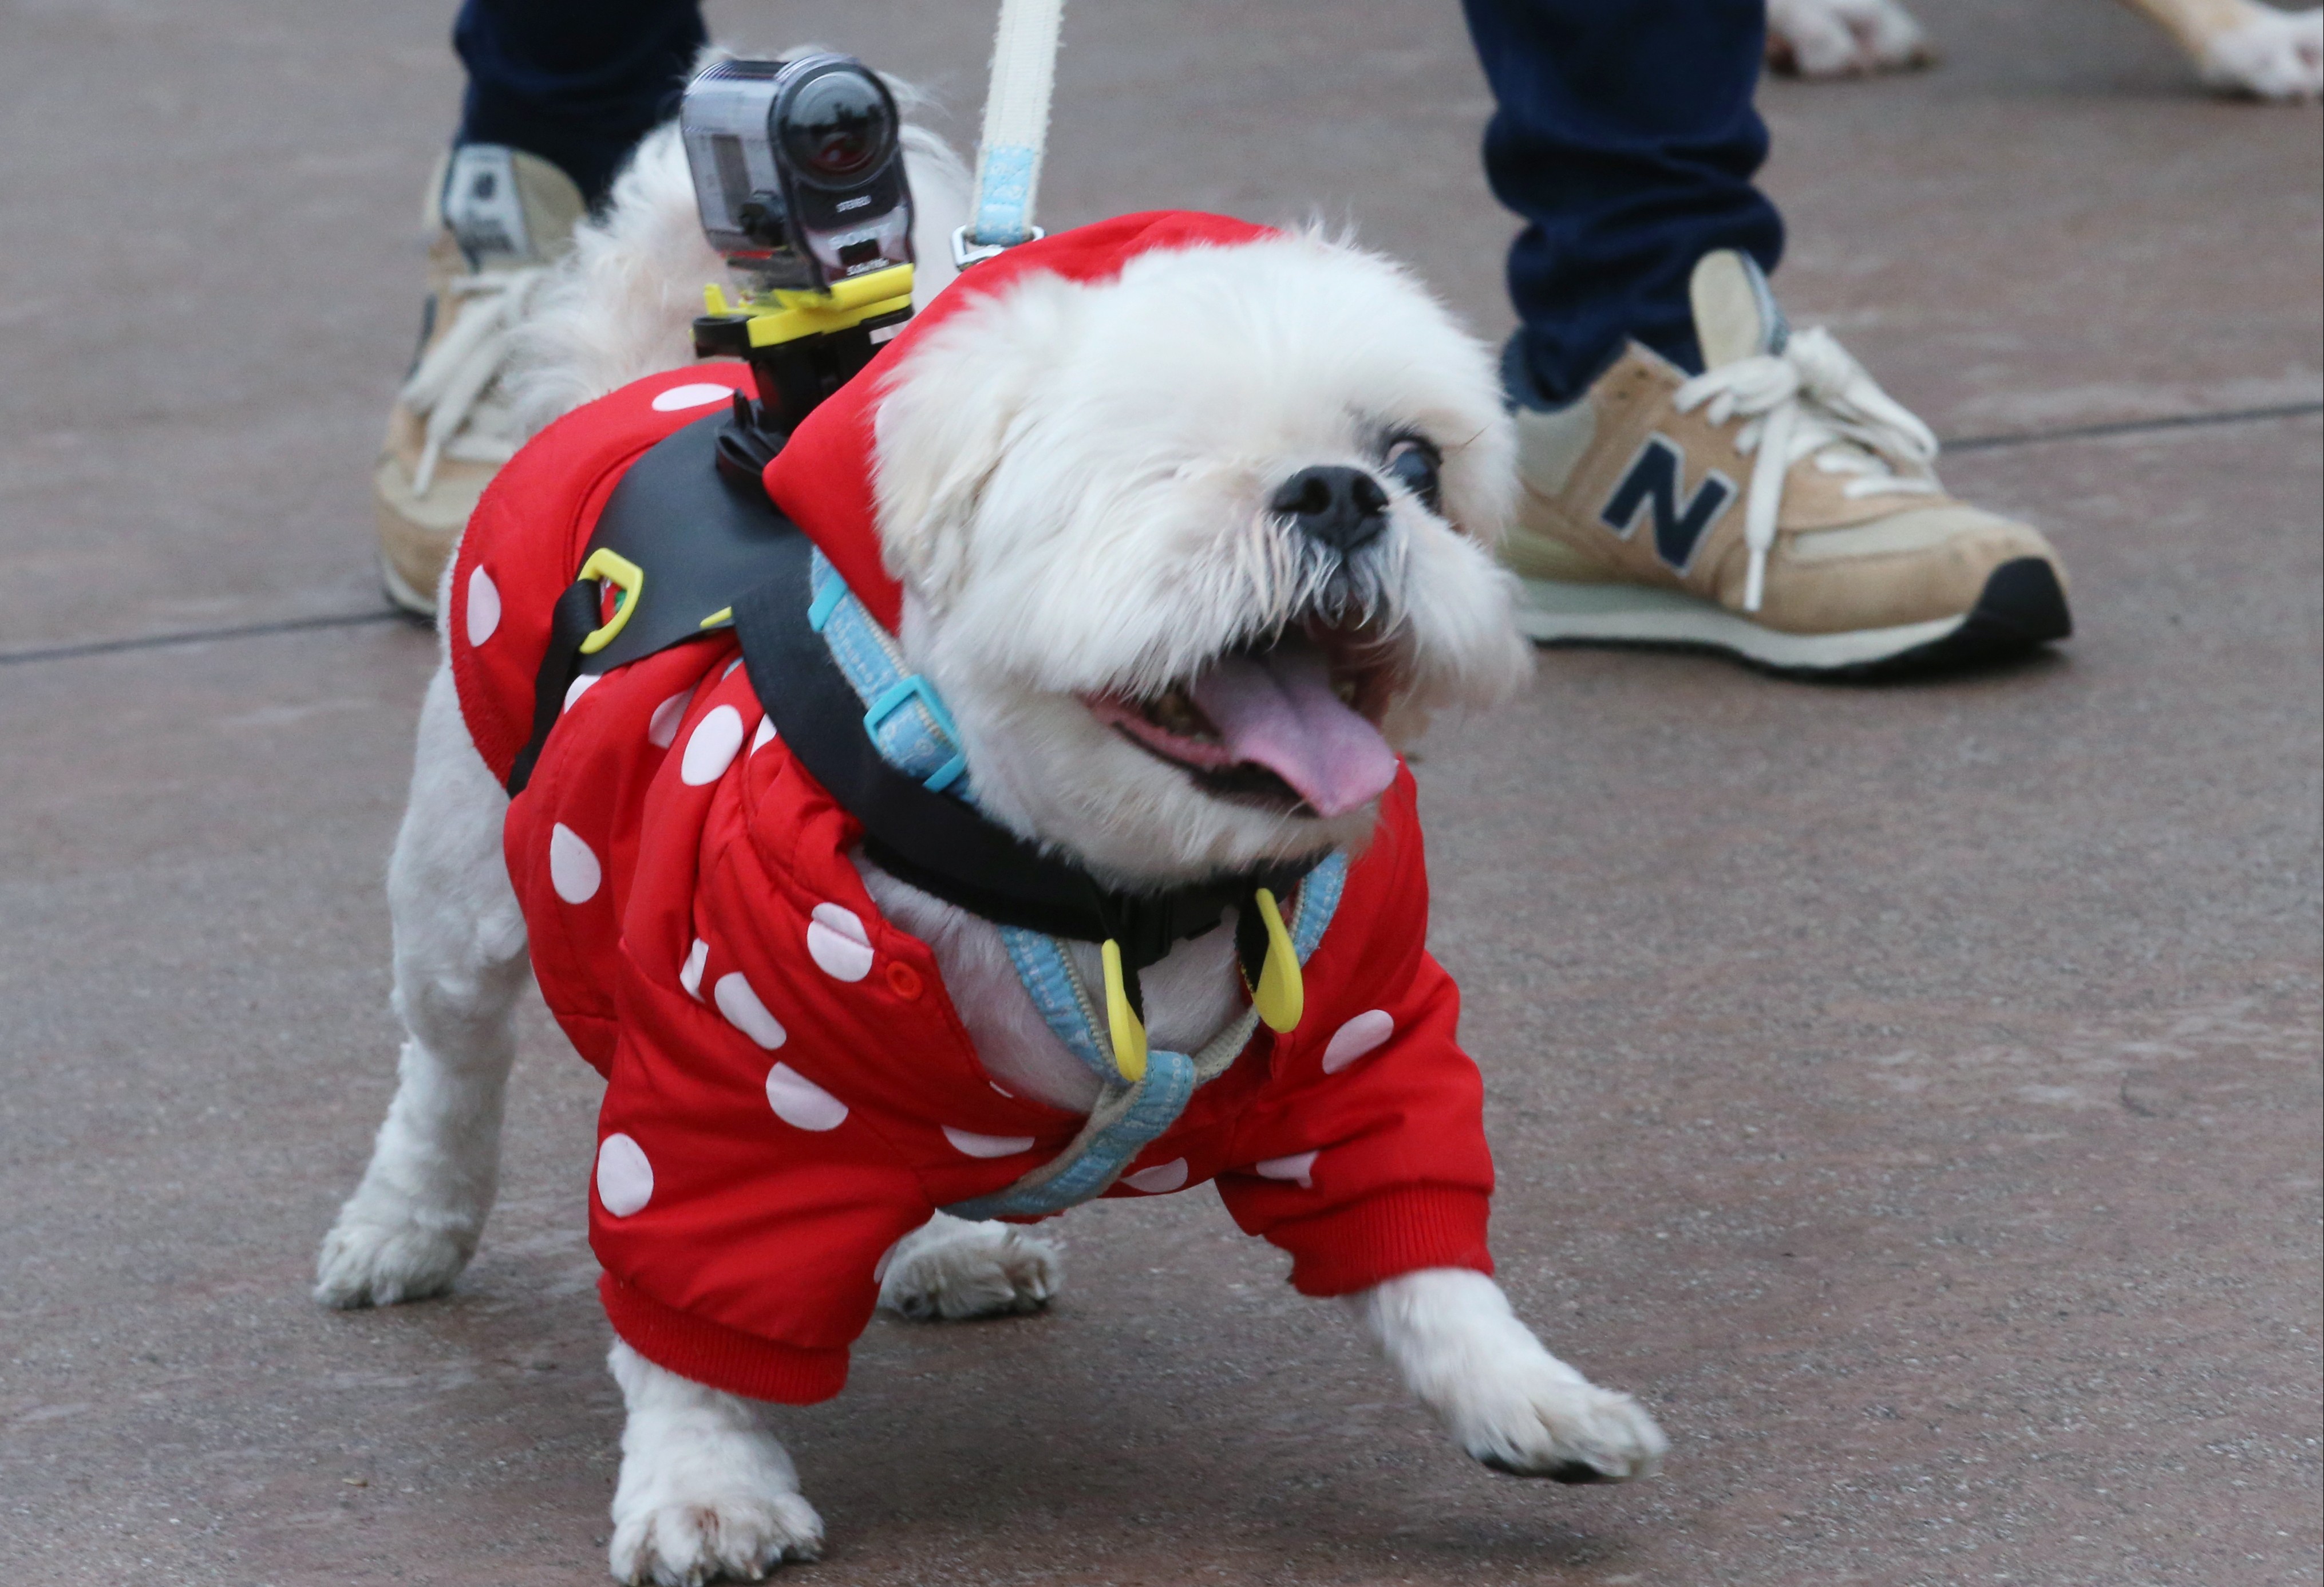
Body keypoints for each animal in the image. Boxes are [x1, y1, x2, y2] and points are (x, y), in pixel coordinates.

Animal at [318, 115, 1663, 1587]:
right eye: (1156, 469)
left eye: (1416, 462)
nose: (1342, 495)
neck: (1111, 898)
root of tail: (650, 385)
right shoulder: (728, 1100)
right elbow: (694, 1329)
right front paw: (704, 1487)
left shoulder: (1361, 1051)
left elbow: (1424, 1255)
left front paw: (1524, 1396)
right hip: (460, 888)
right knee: (448, 1070)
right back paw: (405, 1224)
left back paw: (941, 1243)